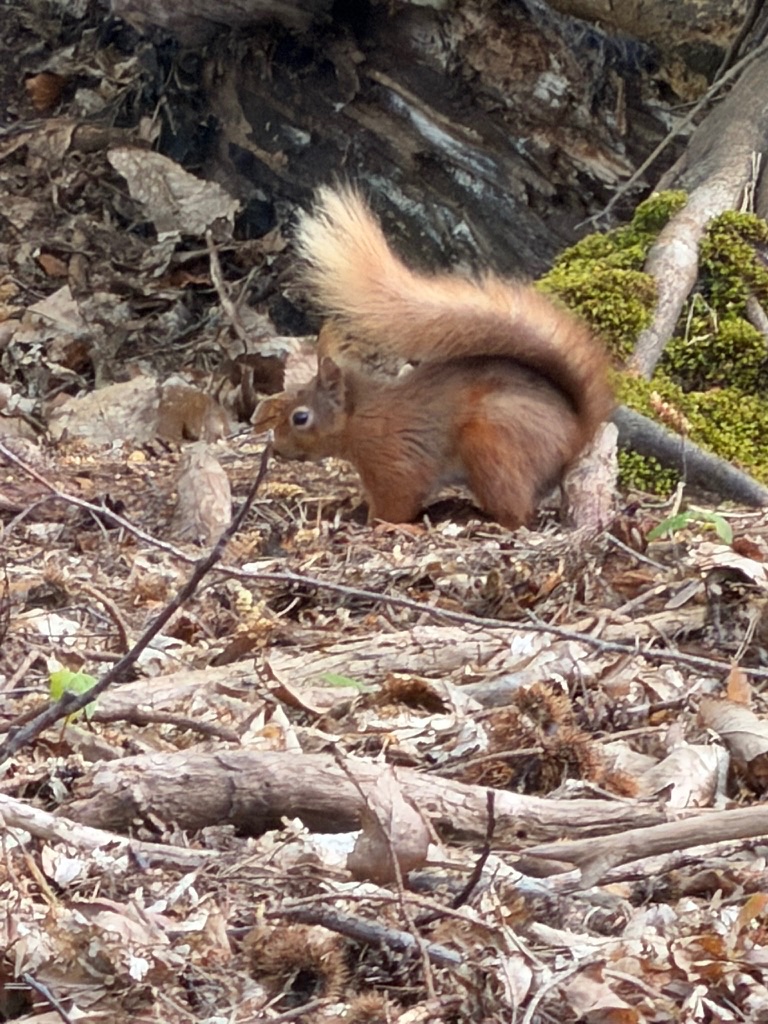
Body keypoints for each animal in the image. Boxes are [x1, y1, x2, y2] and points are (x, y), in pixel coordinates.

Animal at [254, 186, 613, 529]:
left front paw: (375, 523)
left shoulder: (394, 460)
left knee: (518, 512)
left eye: (300, 417)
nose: (278, 447)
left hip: (492, 444)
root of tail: (576, 432)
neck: (360, 416)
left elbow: (398, 502)